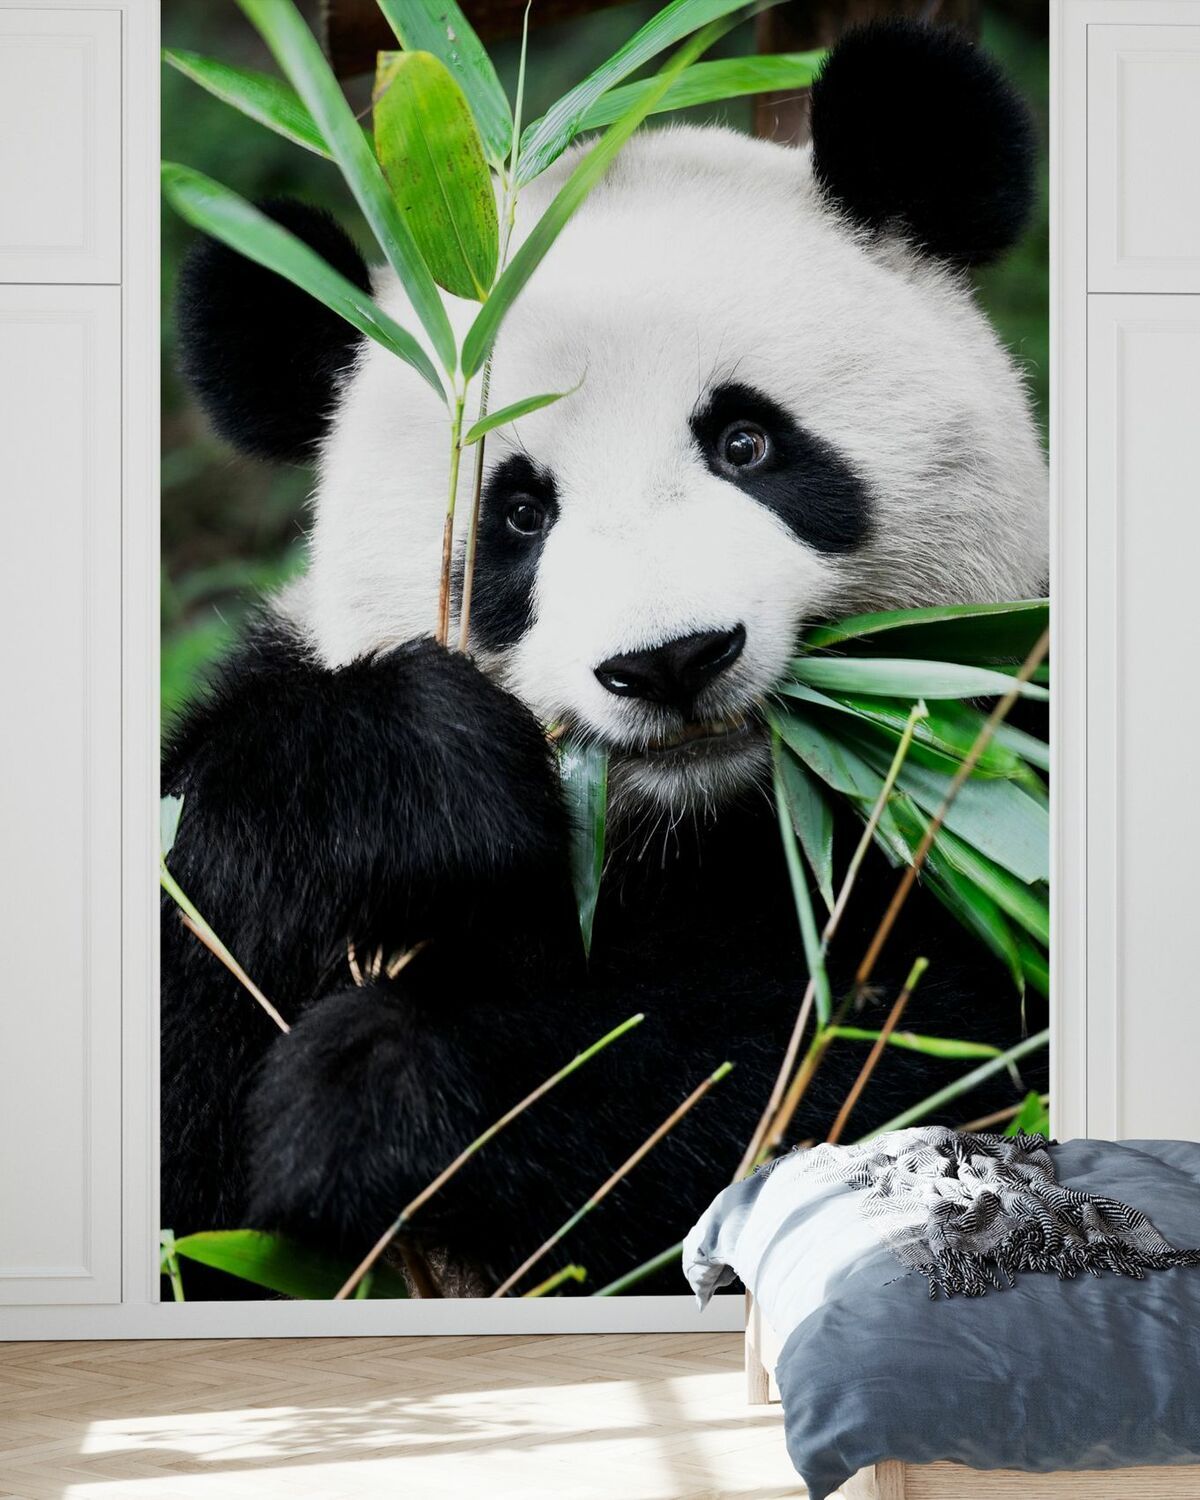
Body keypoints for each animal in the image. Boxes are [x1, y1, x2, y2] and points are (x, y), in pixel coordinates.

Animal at [162, 22, 1047, 1297]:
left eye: (746, 442)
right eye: (519, 515)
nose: (671, 660)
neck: (689, 833)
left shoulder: (994, 770)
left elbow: (900, 1057)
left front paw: (383, 1090)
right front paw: (410, 780)